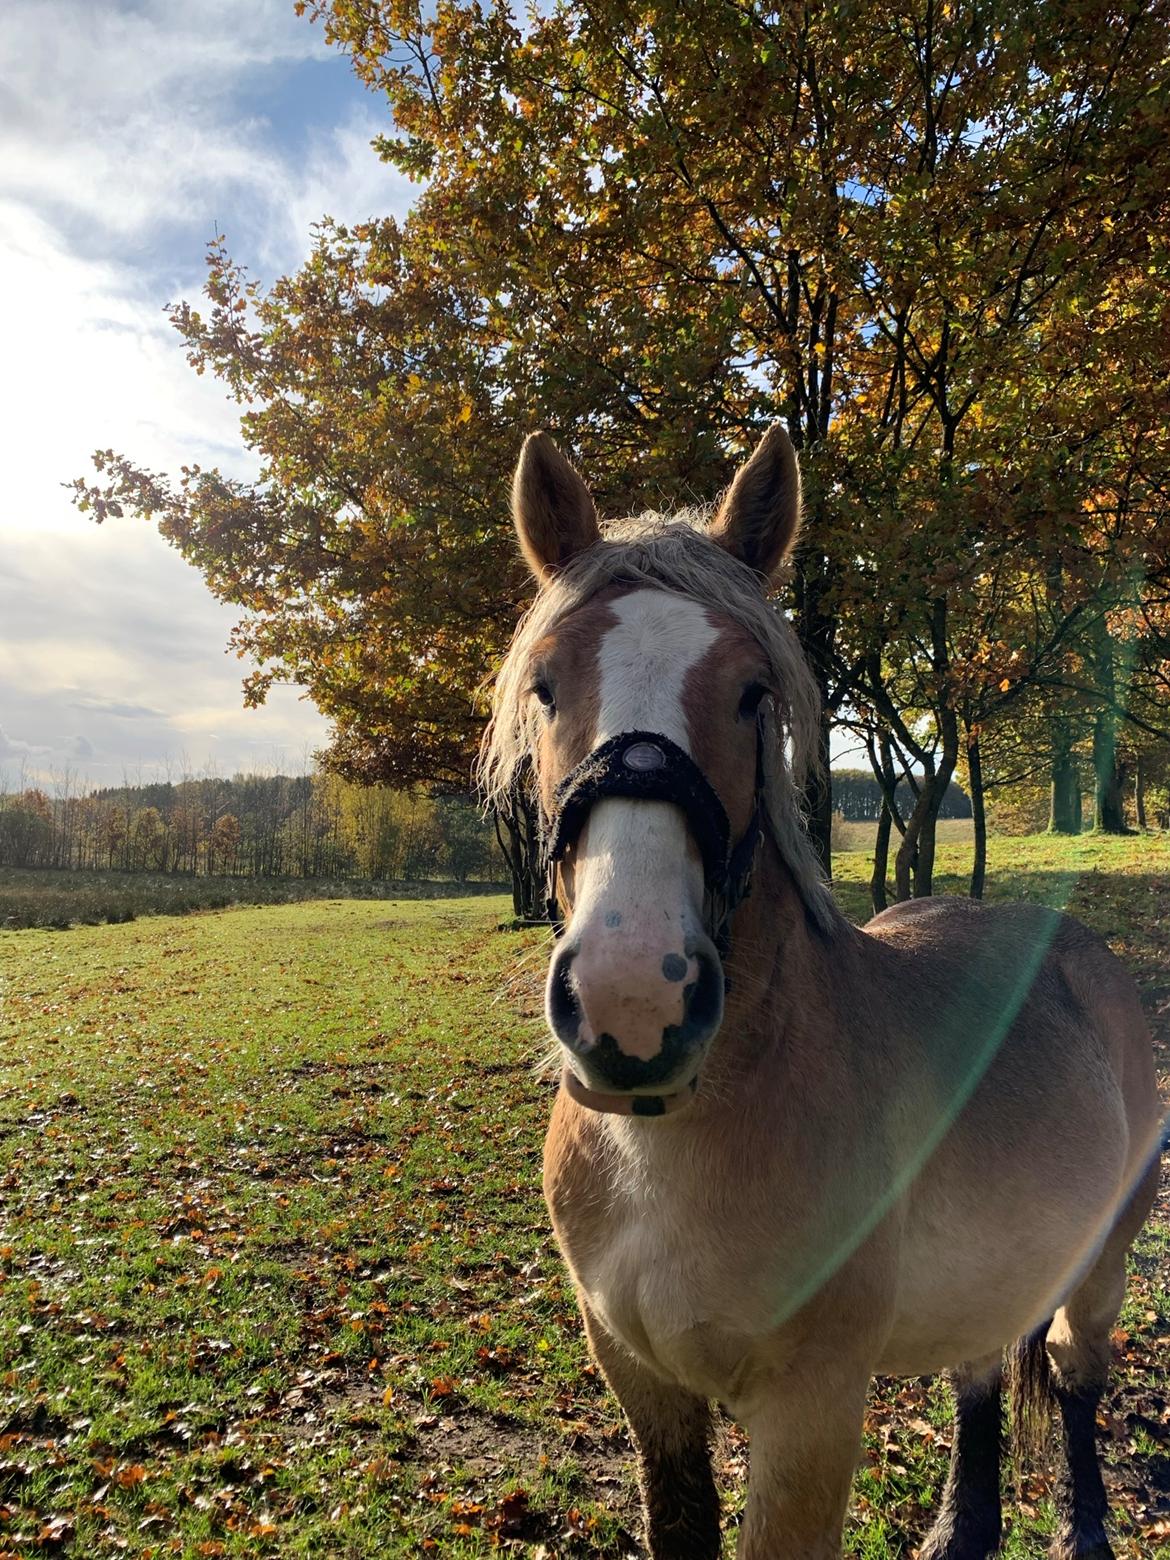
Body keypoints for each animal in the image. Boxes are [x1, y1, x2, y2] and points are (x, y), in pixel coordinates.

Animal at [480, 424, 1166, 1560]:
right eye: (544, 687)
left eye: (754, 692)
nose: (634, 1002)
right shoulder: (644, 1386)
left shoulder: (811, 1410)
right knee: (979, 1370)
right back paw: (960, 1529)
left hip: (1099, 1267)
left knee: (1077, 1384)